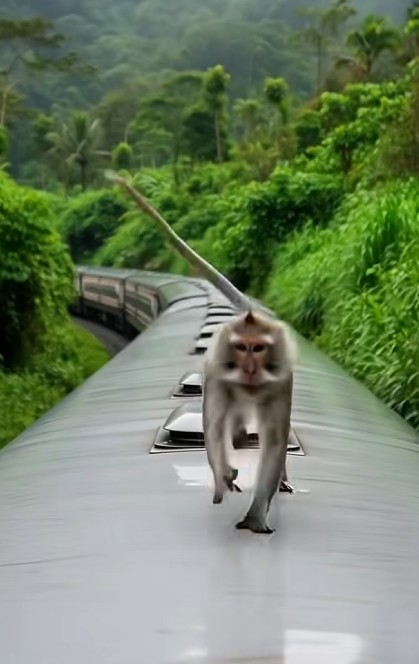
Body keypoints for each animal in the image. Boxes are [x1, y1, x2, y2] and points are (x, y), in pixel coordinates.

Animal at [105, 170, 298, 534]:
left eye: (259, 349)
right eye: (241, 348)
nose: (249, 368)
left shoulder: (280, 382)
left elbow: (275, 442)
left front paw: (256, 516)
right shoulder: (219, 375)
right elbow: (214, 427)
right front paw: (224, 477)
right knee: (230, 428)